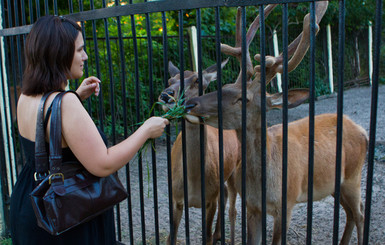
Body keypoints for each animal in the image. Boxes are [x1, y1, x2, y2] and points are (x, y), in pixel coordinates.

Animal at [158, 59, 238, 245]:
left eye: (198, 80)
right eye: (170, 80)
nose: (166, 95)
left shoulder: (209, 200)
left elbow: (206, 237)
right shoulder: (175, 198)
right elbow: (171, 238)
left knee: (233, 207)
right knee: (224, 193)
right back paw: (218, 235)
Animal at [184, 1, 368, 243]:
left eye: (243, 98)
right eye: (224, 87)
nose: (190, 104)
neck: (263, 185)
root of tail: (362, 130)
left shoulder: (286, 203)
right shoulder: (252, 206)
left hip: (353, 177)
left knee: (360, 212)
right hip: (336, 184)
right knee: (350, 213)